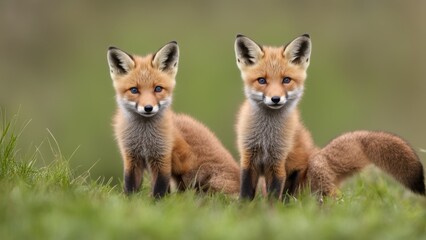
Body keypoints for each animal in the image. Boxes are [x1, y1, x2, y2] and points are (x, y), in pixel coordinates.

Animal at [106, 41, 240, 199]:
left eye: (158, 89)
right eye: (134, 90)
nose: (148, 108)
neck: (144, 138)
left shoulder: (163, 158)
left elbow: (159, 189)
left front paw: (156, 203)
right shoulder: (131, 158)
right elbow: (130, 187)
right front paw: (130, 202)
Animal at [235, 33, 424, 201]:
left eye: (286, 80)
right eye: (262, 80)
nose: (275, 99)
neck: (266, 136)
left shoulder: (279, 163)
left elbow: (274, 198)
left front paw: (271, 214)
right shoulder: (248, 157)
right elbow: (245, 194)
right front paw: (245, 212)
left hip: (313, 171)